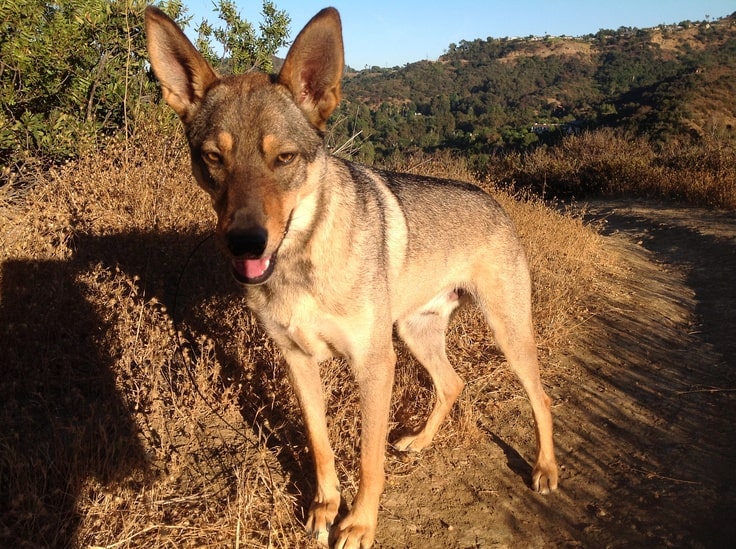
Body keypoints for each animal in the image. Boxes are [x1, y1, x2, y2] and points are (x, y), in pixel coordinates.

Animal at [145, 5, 556, 548]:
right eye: (213, 157)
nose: (245, 242)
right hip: (415, 331)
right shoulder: (298, 361)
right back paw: (420, 441)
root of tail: (494, 201)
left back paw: (546, 468)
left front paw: (359, 523)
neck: (303, 261)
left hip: (506, 333)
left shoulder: (373, 365)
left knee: (541, 397)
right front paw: (324, 508)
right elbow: (320, 445)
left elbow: (368, 460)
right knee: (453, 383)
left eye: (284, 158)